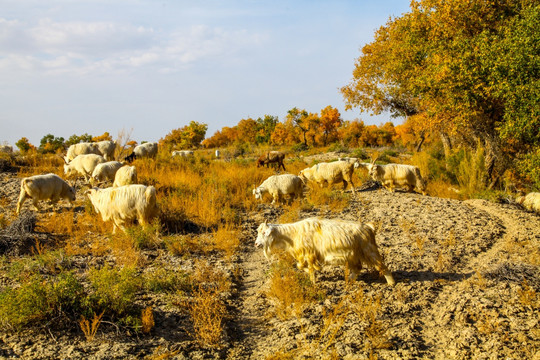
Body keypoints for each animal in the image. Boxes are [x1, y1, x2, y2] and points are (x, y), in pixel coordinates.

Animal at [255, 218, 394, 286]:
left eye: (264, 232)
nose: (256, 244)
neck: (293, 234)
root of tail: (368, 227)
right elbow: (300, 266)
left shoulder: (309, 254)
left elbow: (311, 268)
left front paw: (313, 282)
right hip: (353, 255)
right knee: (358, 268)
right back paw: (349, 281)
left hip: (369, 250)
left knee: (382, 266)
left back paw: (391, 284)